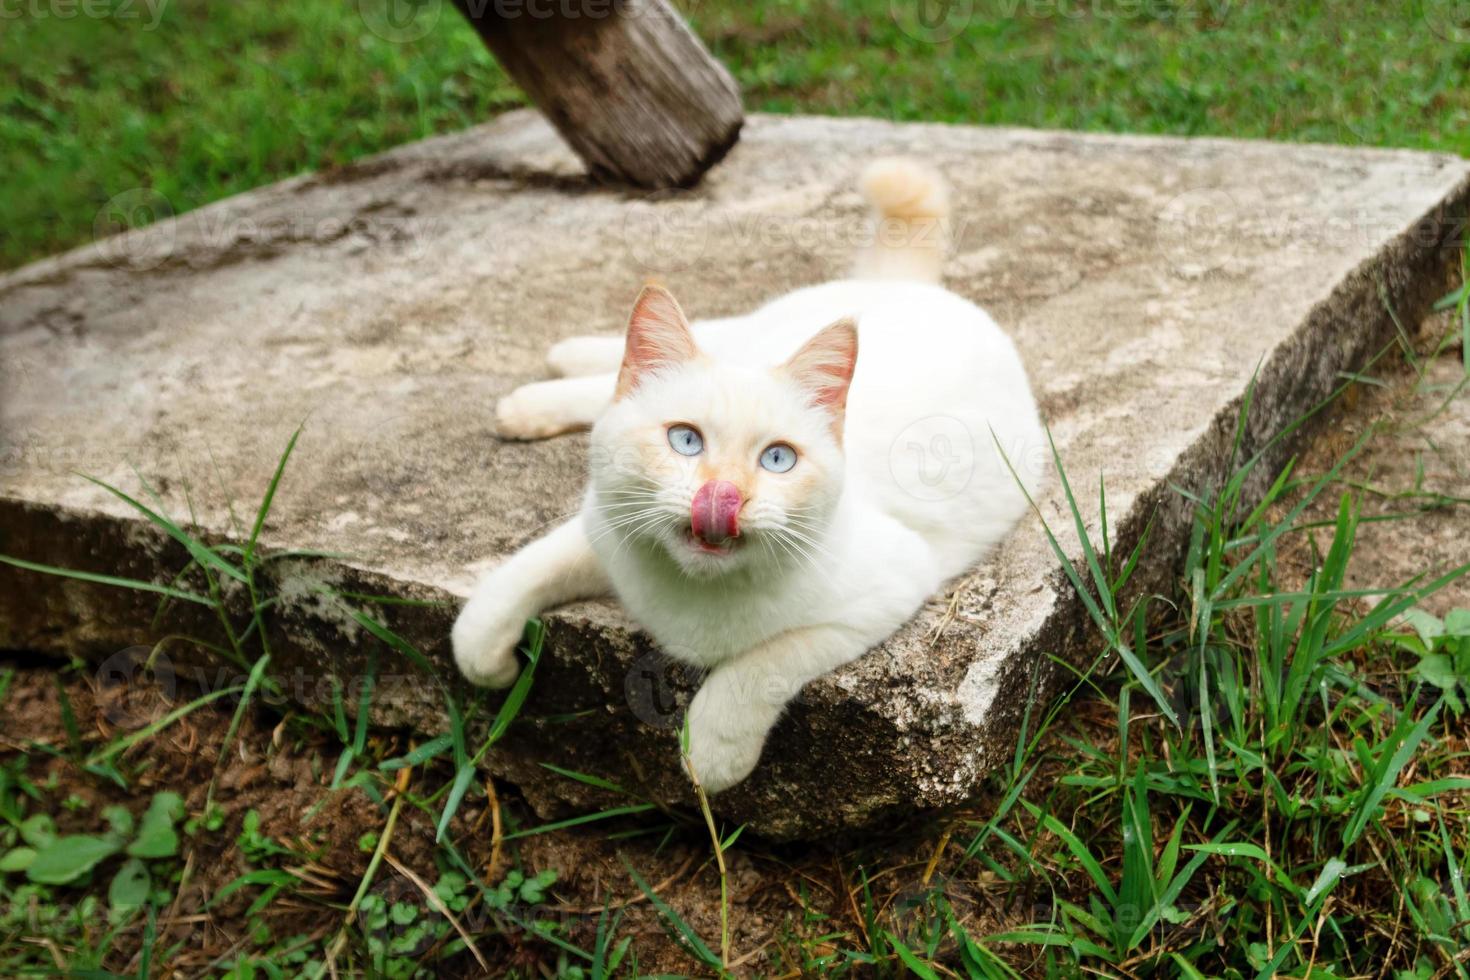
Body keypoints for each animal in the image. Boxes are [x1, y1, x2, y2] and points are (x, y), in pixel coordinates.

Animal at [455, 159, 1046, 787]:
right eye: (685, 440)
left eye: (778, 459)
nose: (724, 495)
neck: (696, 591)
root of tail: (918, 291)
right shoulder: (604, 522)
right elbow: (526, 571)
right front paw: (483, 651)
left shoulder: (887, 591)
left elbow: (764, 663)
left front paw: (713, 749)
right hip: (755, 327)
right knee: (670, 350)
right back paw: (545, 382)